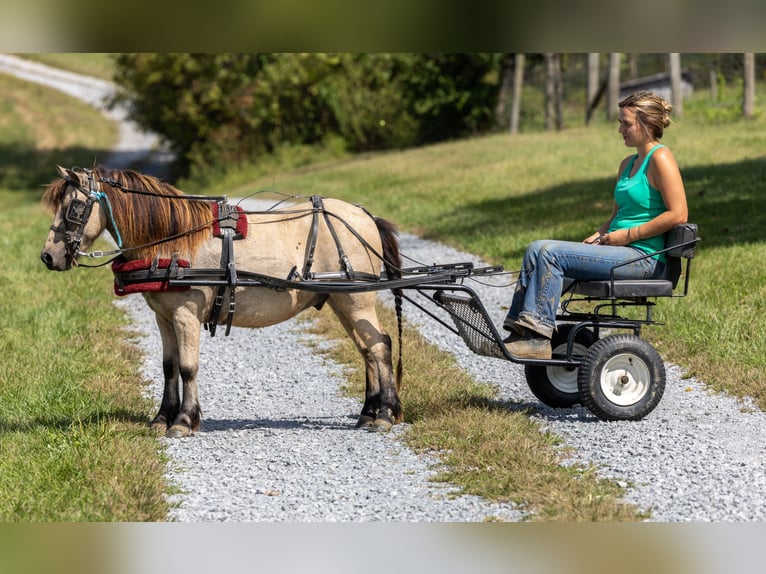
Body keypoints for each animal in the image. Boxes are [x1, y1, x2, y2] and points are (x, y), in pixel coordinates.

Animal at [40, 165, 404, 437]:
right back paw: (368, 412)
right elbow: (169, 367)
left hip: (358, 301)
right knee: (367, 350)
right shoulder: (163, 317)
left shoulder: (186, 314)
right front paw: (162, 418)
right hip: (343, 301)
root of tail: (365, 216)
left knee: (380, 346)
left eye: (73, 207)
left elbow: (188, 367)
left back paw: (385, 413)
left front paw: (184, 421)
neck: (172, 241)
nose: (48, 256)